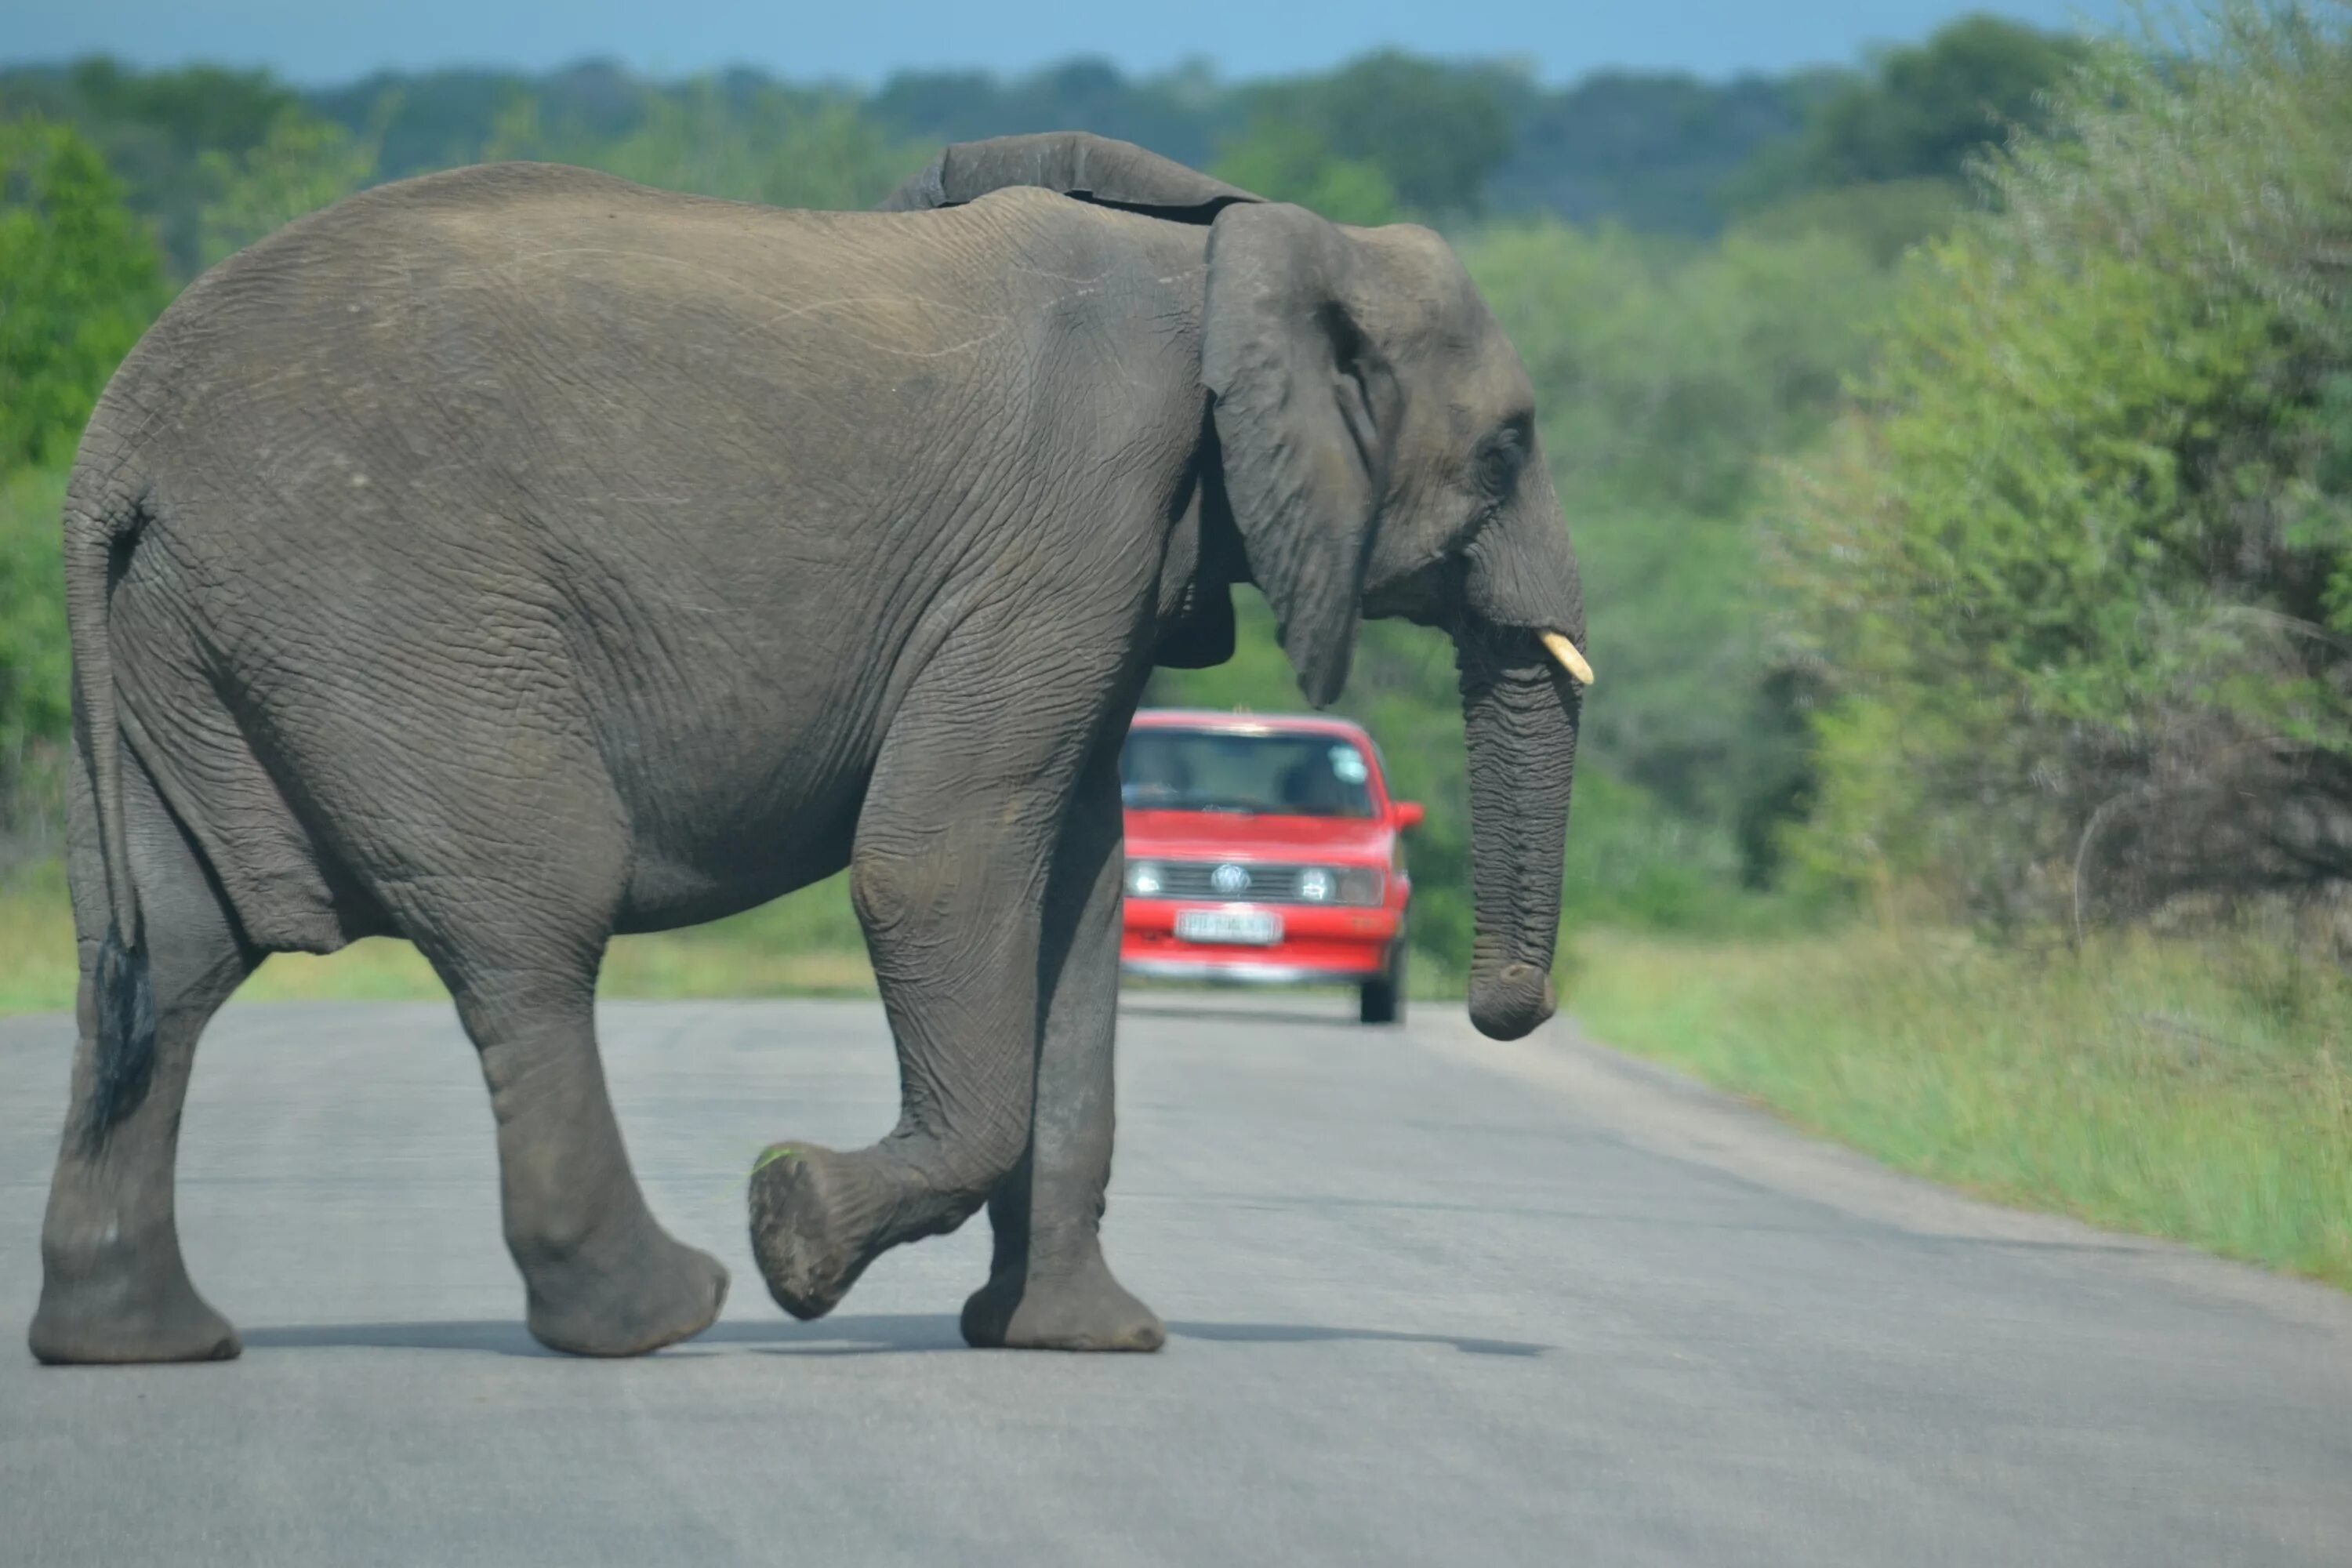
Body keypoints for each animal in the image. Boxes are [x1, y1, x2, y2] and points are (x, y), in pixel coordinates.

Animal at [27, 129, 1590, 1363]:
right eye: (1507, 451)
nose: (1505, 1014)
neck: (1236, 246)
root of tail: (118, 437)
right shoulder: (1072, 525)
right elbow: (935, 860)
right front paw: (794, 1229)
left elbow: (1079, 903)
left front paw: (1083, 1343)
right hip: (383, 611)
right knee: (531, 917)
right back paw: (661, 1314)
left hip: (199, 635)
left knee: (166, 957)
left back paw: (140, 1345)